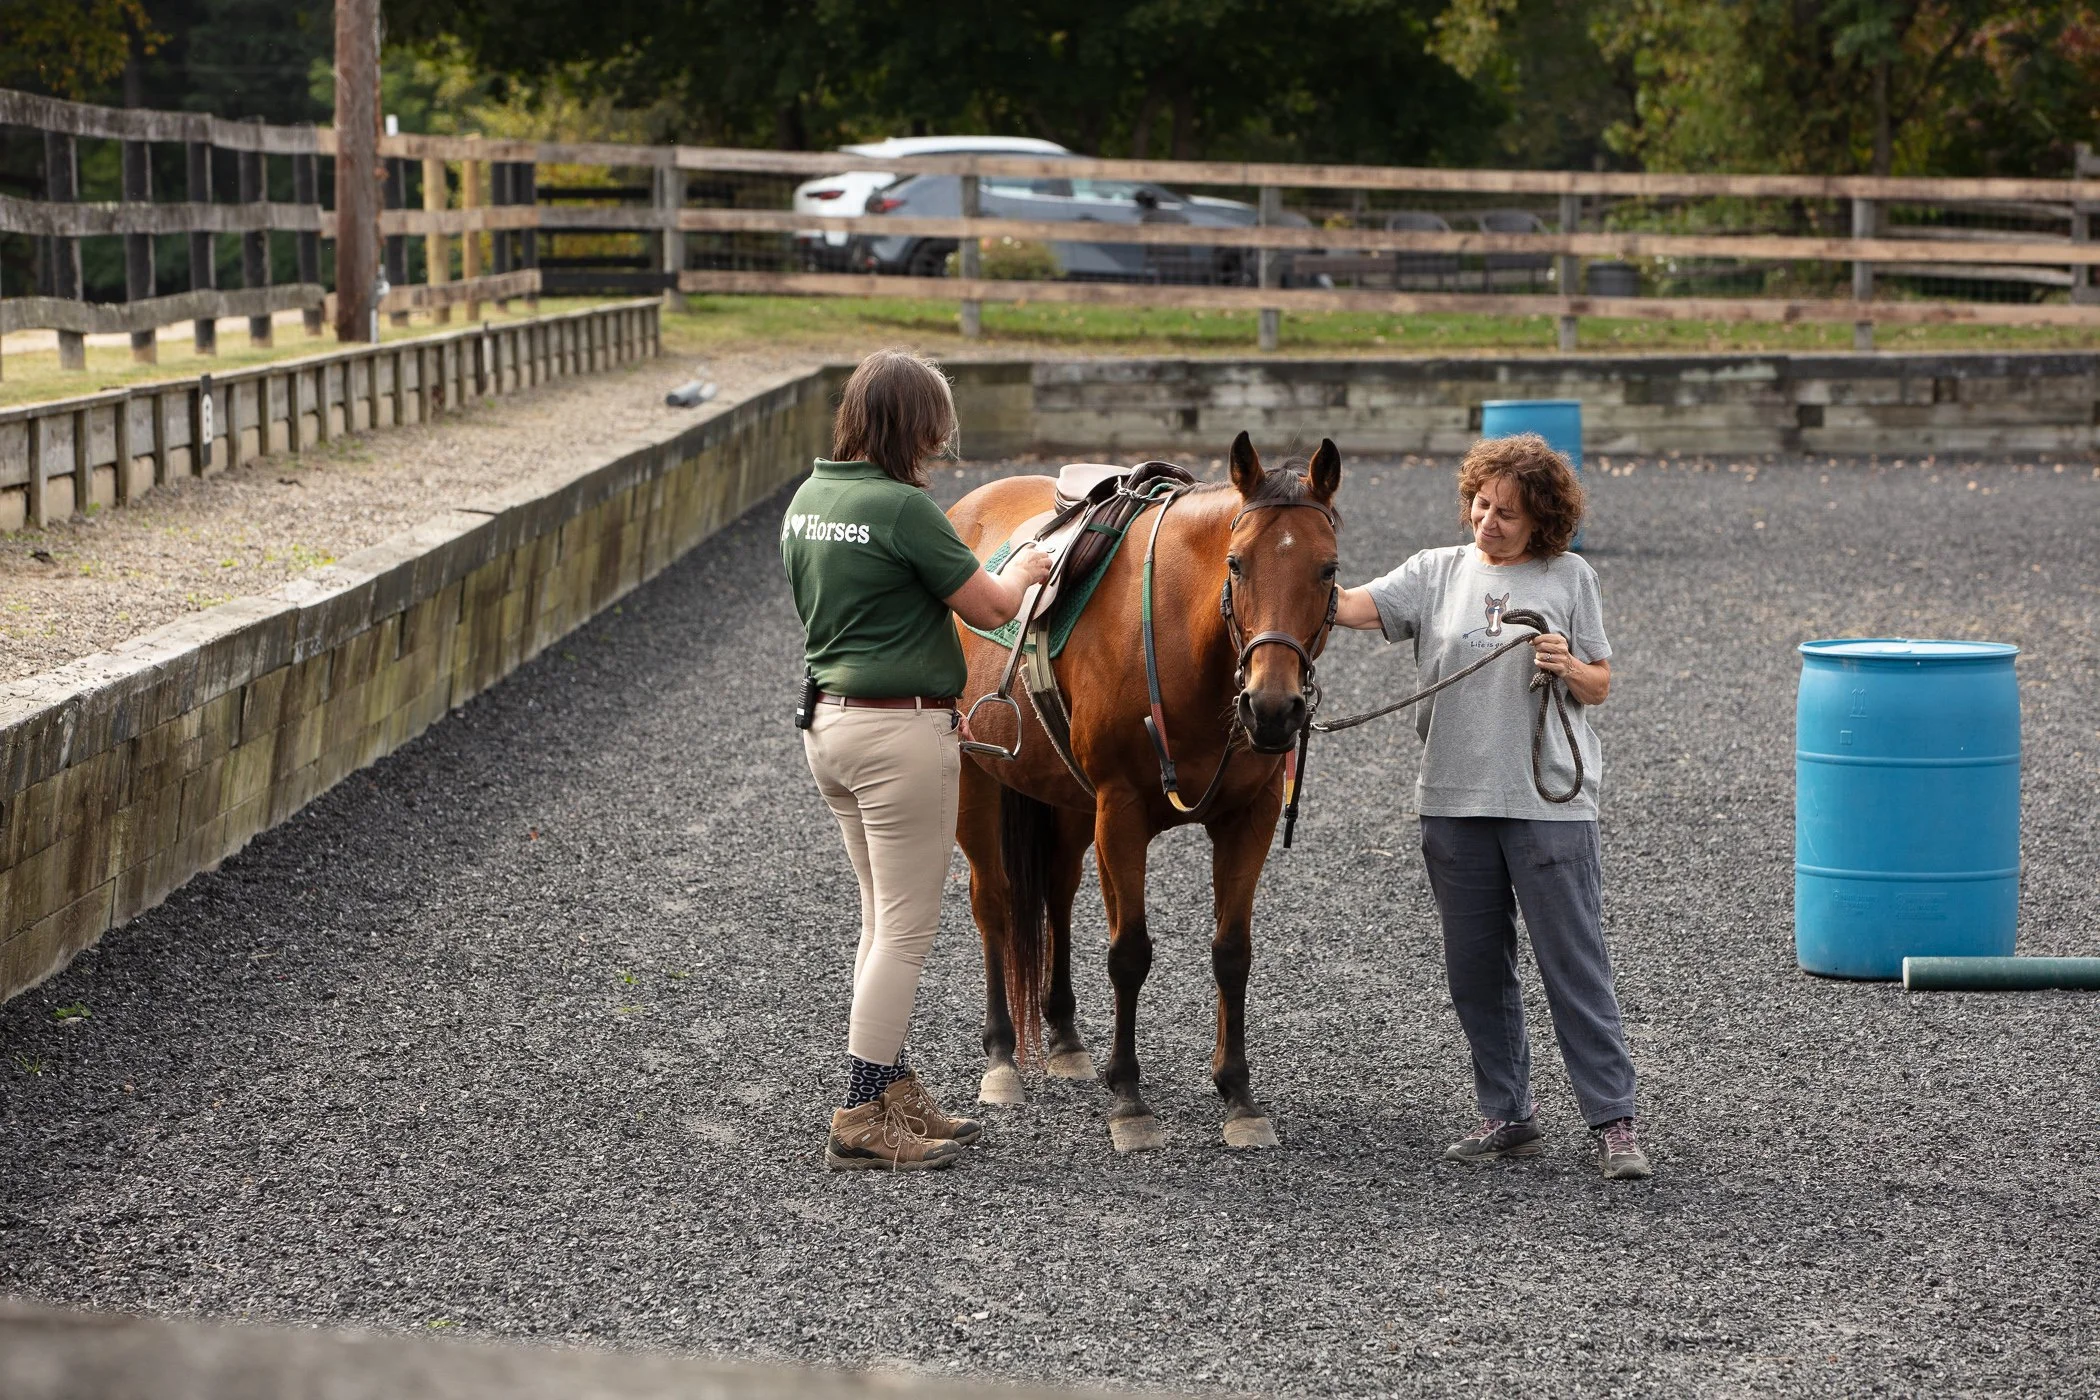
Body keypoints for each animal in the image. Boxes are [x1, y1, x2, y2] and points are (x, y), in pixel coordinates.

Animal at [946, 432, 1342, 1152]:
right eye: (1236, 564)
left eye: (1328, 569)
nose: (1272, 709)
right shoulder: (1122, 812)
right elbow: (1129, 952)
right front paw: (1128, 1097)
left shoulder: (1248, 818)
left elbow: (1232, 952)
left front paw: (1237, 1093)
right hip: (975, 774)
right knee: (994, 901)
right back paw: (1001, 1058)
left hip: (1067, 799)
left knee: (1056, 891)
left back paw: (1065, 1036)